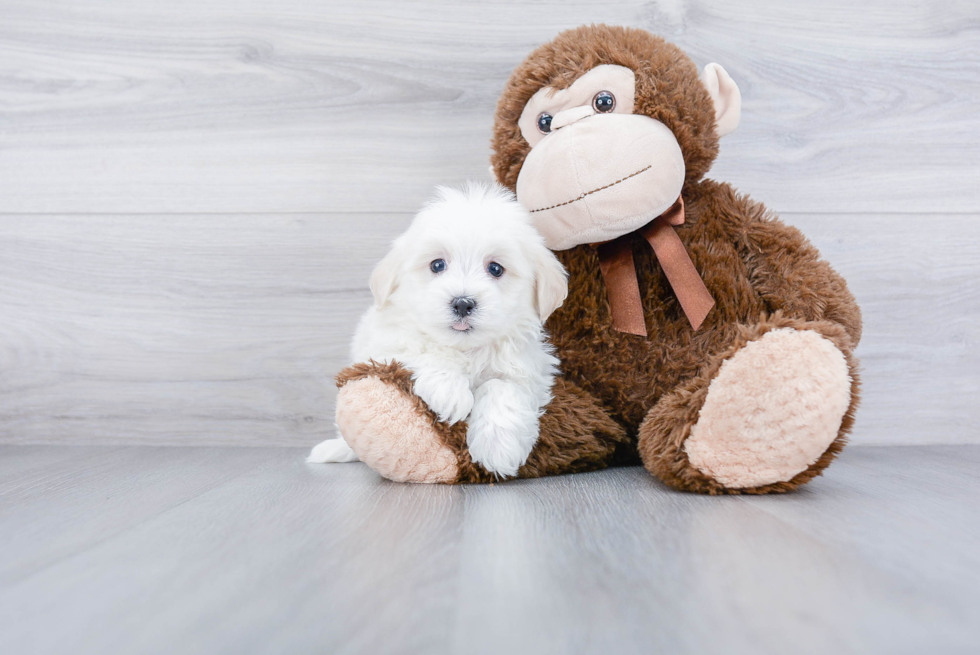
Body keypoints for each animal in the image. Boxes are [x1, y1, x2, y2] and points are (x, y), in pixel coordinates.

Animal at [306, 182, 568, 480]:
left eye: (495, 268)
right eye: (437, 265)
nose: (463, 303)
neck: (467, 349)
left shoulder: (529, 370)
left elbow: (501, 386)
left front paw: (497, 448)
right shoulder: (386, 344)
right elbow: (424, 350)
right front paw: (451, 392)